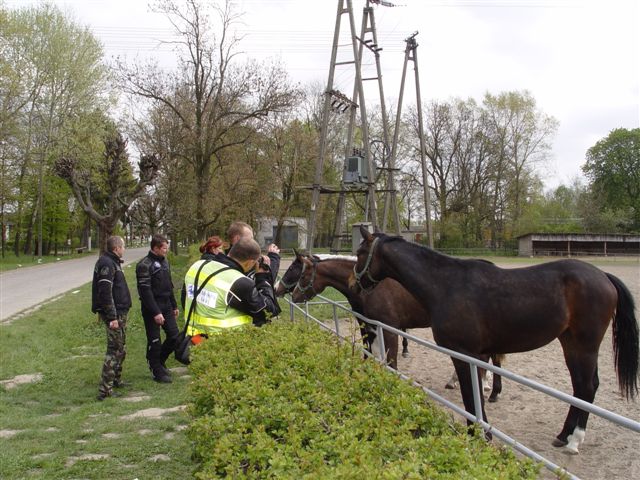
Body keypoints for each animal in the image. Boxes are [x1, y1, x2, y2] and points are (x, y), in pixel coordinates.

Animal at [276, 251, 504, 402]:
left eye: (296, 271)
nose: (286, 292)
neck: (368, 288)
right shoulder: (367, 324)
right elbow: (369, 351)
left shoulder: (389, 328)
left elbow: (391, 360)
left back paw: (489, 390)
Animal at [352, 225, 636, 454]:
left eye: (359, 253)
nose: (355, 284)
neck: (446, 285)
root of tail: (603, 276)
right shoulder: (475, 355)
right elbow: (474, 394)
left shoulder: (465, 354)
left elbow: (470, 396)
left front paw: (477, 435)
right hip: (570, 343)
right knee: (580, 388)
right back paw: (563, 435)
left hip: (584, 345)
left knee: (586, 387)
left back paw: (574, 441)